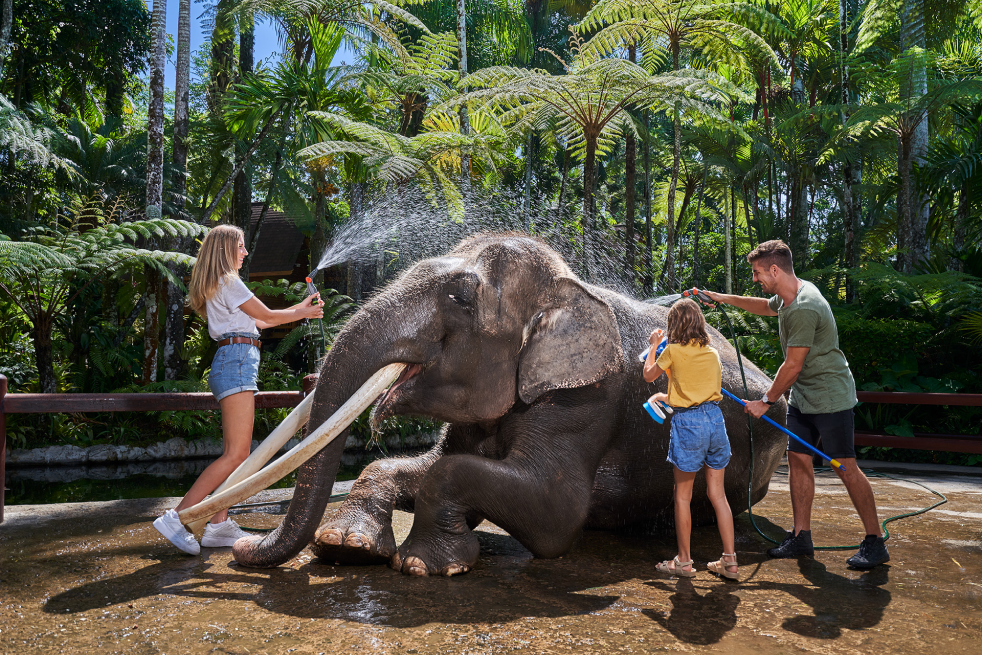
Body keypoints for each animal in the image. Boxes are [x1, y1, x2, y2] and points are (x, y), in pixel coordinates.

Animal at [232, 234, 788, 575]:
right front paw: (345, 546)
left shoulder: (586, 398)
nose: (240, 545)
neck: (566, 286)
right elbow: (425, 463)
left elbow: (555, 512)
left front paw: (421, 565)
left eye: (459, 298)